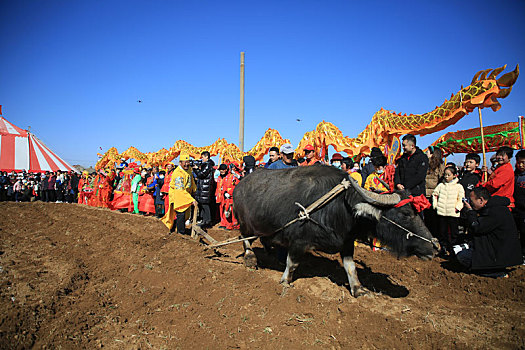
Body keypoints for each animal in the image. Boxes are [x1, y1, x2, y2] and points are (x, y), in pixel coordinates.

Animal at [233, 165, 438, 296]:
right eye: (405, 213)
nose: (435, 246)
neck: (342, 207)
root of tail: (239, 185)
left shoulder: (346, 243)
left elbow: (351, 267)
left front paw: (358, 289)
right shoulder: (298, 242)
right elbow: (292, 263)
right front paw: (285, 281)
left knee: (263, 239)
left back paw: (270, 254)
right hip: (245, 223)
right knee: (245, 239)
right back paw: (251, 259)